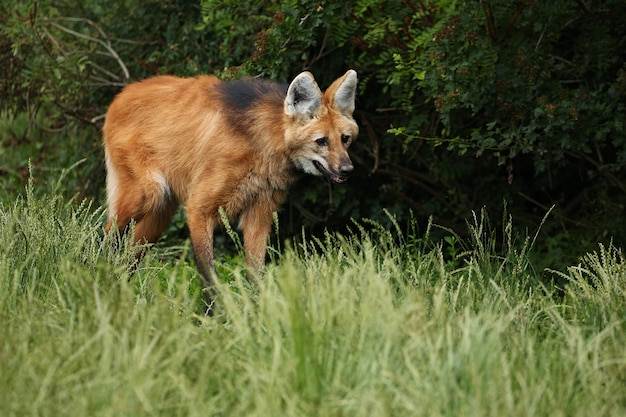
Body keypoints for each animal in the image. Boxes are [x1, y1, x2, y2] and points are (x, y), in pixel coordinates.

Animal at [102, 70, 356, 306]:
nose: (347, 170)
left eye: (345, 139)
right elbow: (209, 275)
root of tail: (121, 95)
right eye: (321, 141)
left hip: (160, 215)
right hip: (148, 194)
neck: (262, 143)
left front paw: (256, 311)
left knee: (128, 256)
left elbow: (255, 271)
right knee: (105, 237)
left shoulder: (259, 213)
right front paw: (214, 317)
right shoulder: (199, 209)